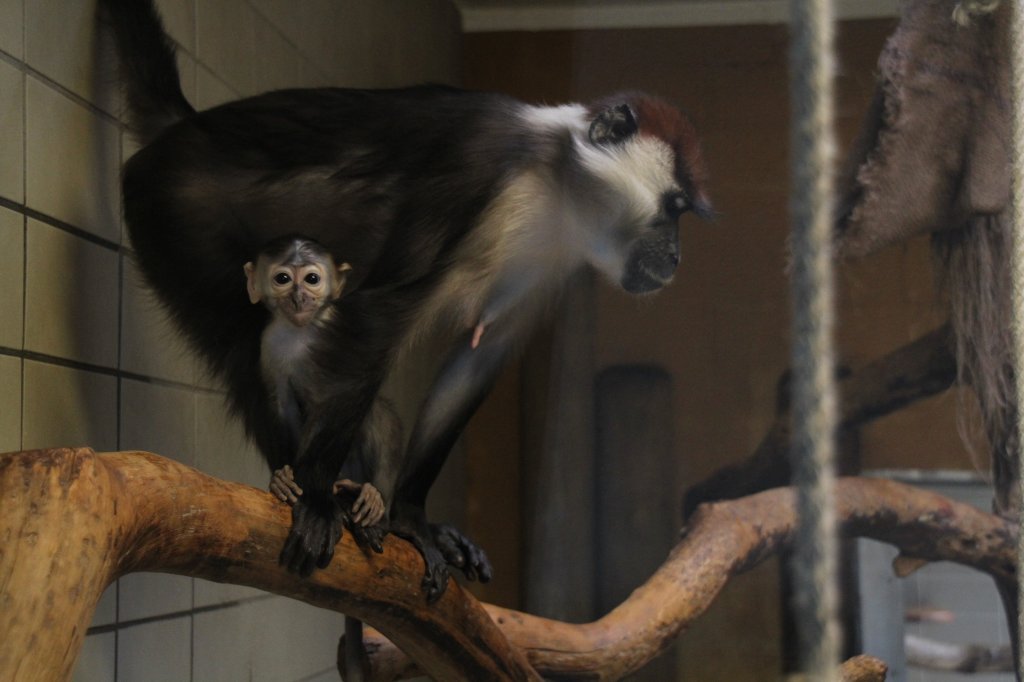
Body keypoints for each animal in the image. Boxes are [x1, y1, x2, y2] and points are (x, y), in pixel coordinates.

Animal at [243, 236, 385, 528]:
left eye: (311, 279)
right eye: (283, 279)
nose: (299, 298)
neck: (304, 332)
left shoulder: (345, 328)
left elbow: (353, 386)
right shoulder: (270, 341)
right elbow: (282, 402)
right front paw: (282, 479)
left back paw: (369, 492)